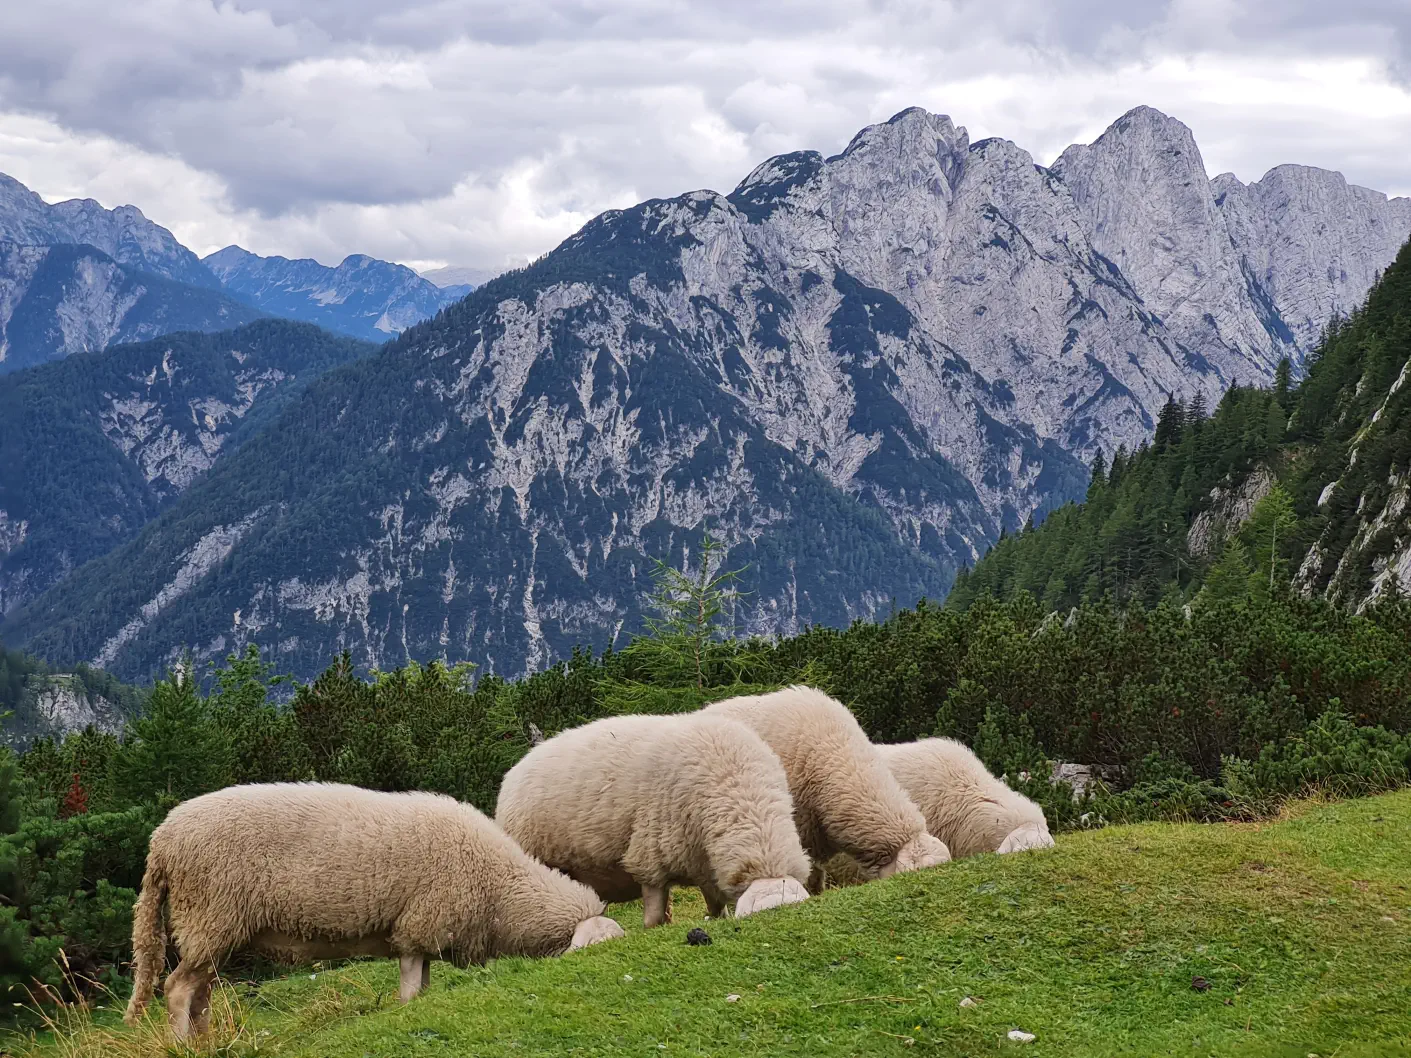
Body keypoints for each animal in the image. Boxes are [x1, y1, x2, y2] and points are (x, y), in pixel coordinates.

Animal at [124, 782, 624, 1040]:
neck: (501, 888)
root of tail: (162, 841)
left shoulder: (422, 931)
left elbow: (423, 989)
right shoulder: (420, 923)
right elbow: (410, 989)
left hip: (216, 927)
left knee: (200, 991)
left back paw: (207, 1042)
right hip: (210, 912)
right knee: (177, 989)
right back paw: (183, 1045)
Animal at [495, 712, 812, 926]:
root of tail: (520, 764)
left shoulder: (702, 860)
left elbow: (715, 903)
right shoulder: (650, 854)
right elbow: (654, 910)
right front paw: (654, 927)